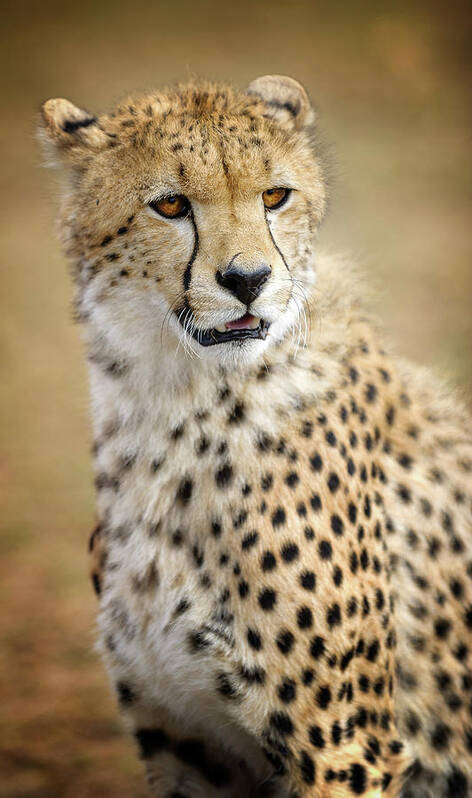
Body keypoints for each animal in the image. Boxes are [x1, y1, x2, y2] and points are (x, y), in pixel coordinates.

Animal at [40, 76, 472, 798]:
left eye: (275, 196)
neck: (176, 404)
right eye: (170, 204)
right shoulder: (189, 746)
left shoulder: (345, 749)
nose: (247, 281)